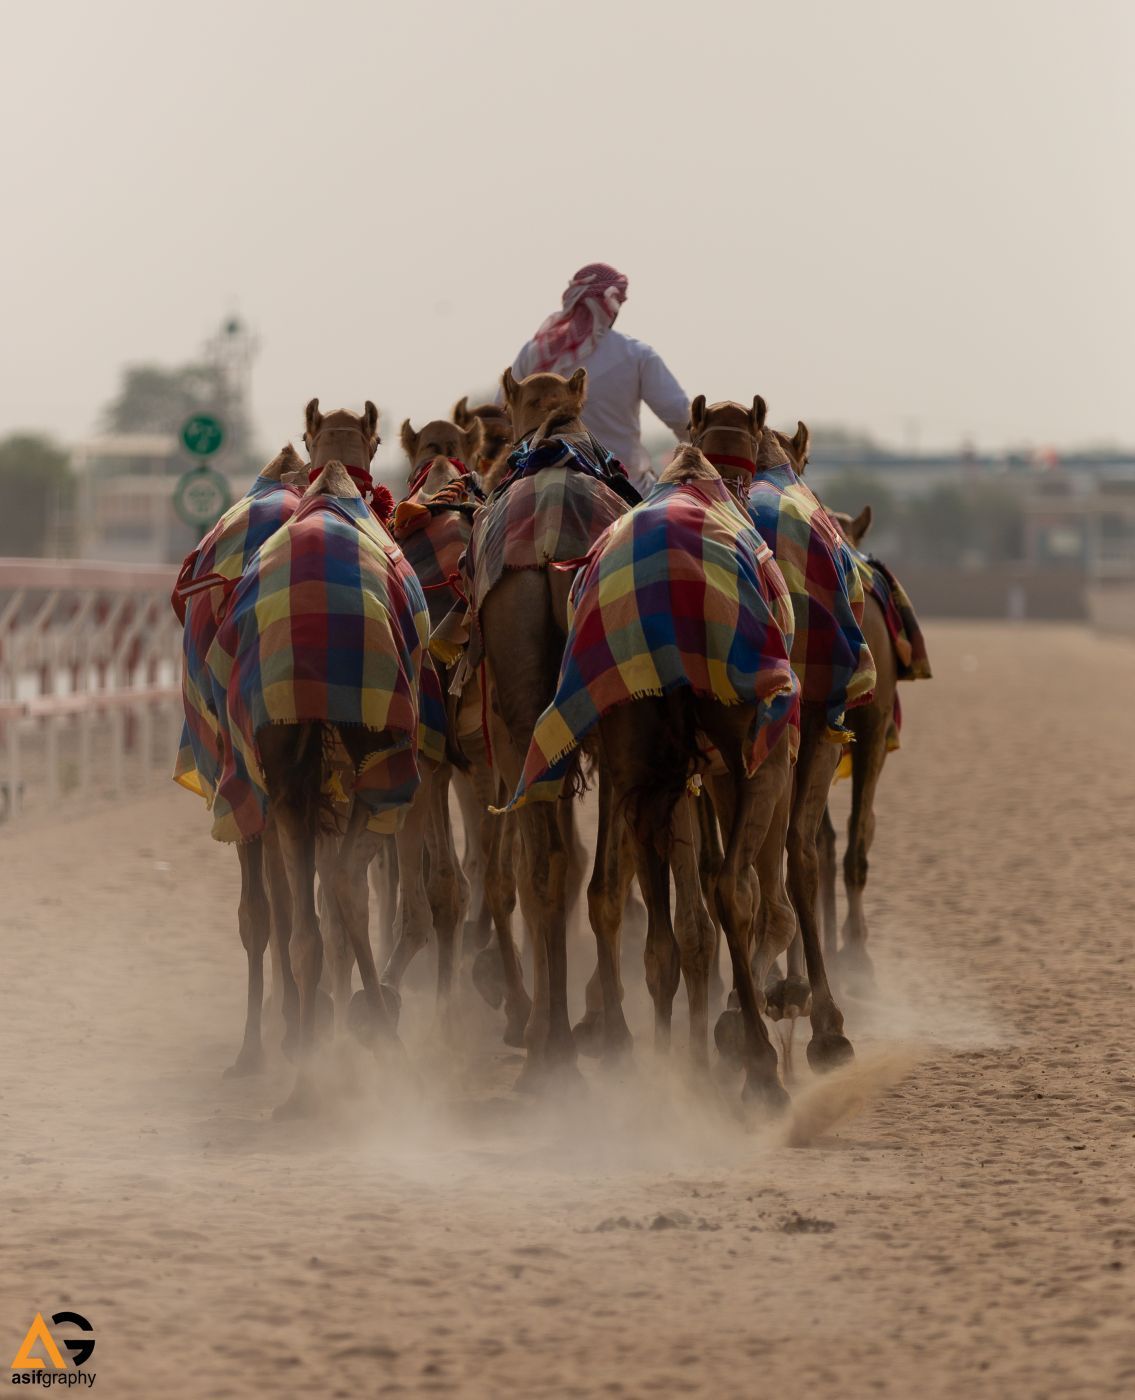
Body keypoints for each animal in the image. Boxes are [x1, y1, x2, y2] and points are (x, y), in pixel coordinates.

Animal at [690, 397, 868, 1070]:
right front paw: (820, 1017)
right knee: (767, 865)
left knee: (729, 875)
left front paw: (775, 997)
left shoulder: (735, 753)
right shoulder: (815, 723)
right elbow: (802, 856)